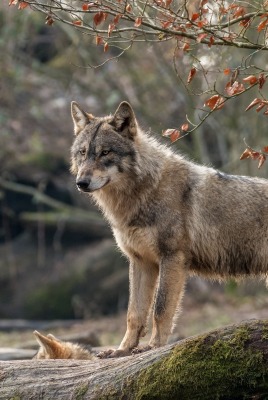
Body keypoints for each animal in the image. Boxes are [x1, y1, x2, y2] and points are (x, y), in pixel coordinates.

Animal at [70, 101, 268, 358]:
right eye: (83, 152)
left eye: (105, 152)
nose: (81, 183)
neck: (143, 193)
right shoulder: (141, 261)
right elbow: (134, 314)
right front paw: (122, 350)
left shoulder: (172, 258)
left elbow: (160, 309)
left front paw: (153, 346)